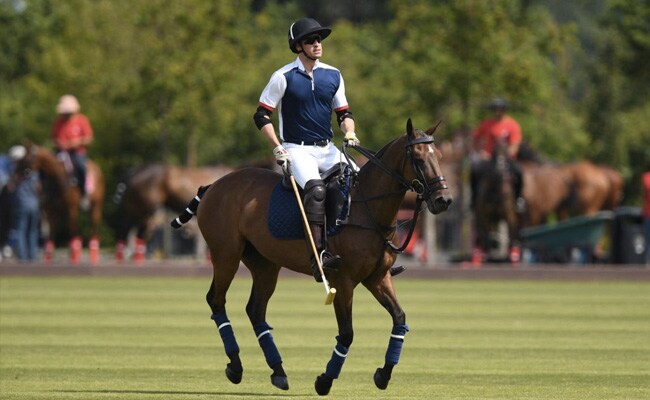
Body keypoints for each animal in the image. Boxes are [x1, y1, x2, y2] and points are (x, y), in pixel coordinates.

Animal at [171, 119, 450, 394]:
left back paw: (278, 372)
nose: (443, 200)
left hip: (265, 264)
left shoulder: (378, 277)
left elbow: (399, 319)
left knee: (255, 310)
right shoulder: (342, 281)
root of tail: (214, 185)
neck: (366, 208)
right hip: (225, 254)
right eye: (418, 158)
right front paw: (324, 381)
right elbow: (346, 333)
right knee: (216, 300)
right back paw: (236, 367)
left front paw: (383, 374)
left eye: (439, 156)